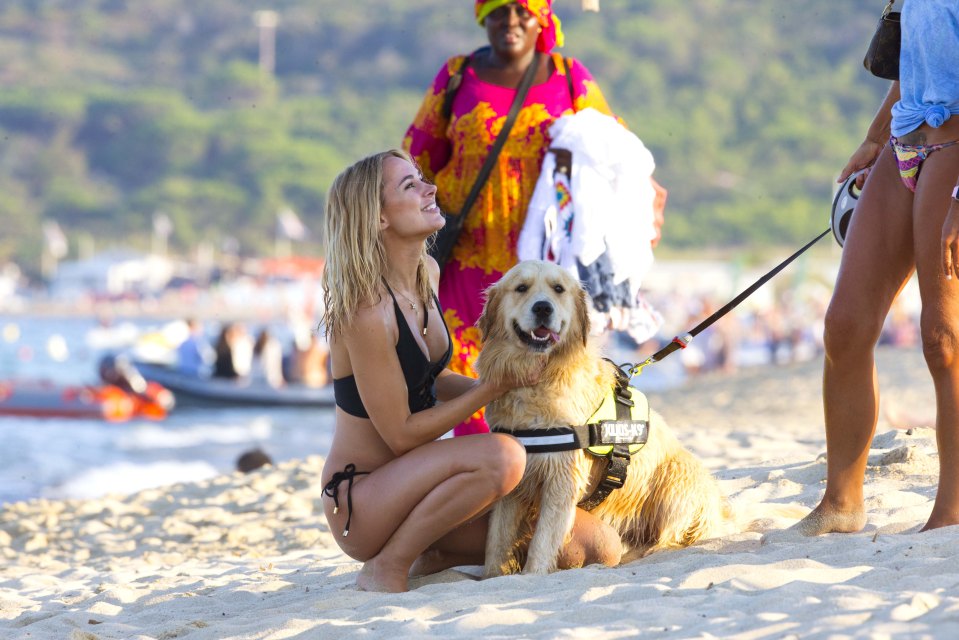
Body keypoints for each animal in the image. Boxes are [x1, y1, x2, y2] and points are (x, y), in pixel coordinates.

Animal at [476, 260, 740, 576]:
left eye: (558, 289)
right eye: (521, 288)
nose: (543, 308)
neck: (539, 377)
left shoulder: (561, 477)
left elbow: (542, 542)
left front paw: (532, 574)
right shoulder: (516, 480)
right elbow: (496, 541)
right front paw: (492, 576)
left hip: (676, 476)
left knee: (671, 537)